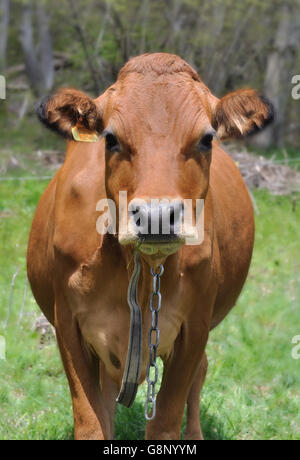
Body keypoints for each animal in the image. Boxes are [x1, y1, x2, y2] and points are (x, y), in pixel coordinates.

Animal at [27, 52, 274, 440]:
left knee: (200, 375)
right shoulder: (67, 324)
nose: (157, 215)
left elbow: (165, 423)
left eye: (207, 138)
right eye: (111, 138)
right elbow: (92, 423)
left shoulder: (194, 328)